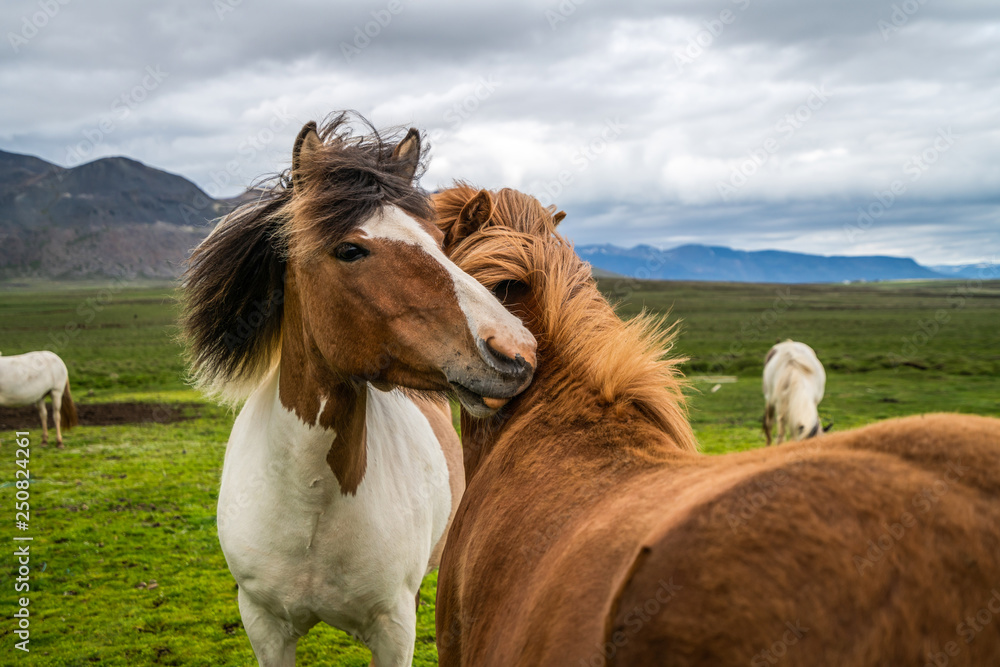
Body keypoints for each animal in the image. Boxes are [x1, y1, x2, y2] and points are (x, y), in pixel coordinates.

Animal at [183, 116, 536, 667]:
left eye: (439, 241)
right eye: (350, 249)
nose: (517, 350)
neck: (310, 503)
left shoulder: (394, 629)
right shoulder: (264, 626)